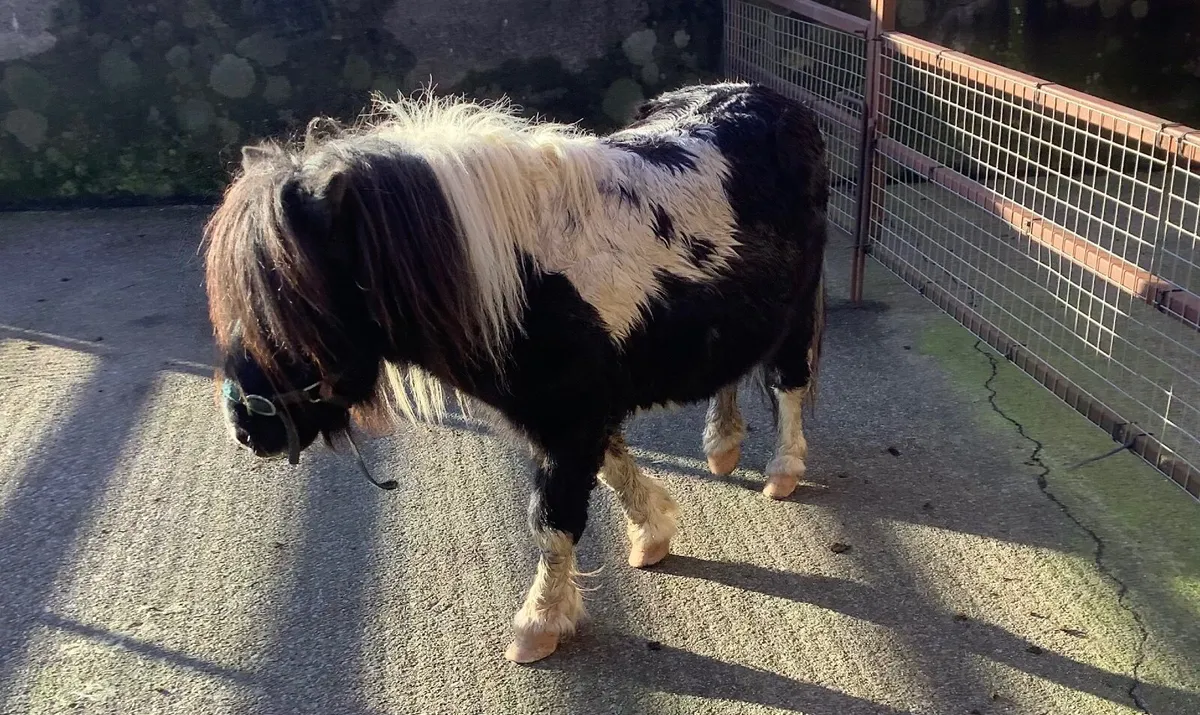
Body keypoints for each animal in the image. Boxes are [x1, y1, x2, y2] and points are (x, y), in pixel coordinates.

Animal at [202, 81, 830, 664]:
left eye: (291, 303)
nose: (244, 428)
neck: (520, 278)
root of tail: (772, 98)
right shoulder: (573, 413)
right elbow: (612, 470)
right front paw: (652, 533)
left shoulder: (571, 420)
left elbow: (552, 521)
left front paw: (539, 625)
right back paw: (722, 447)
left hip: (796, 312)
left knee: (788, 383)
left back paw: (782, 470)